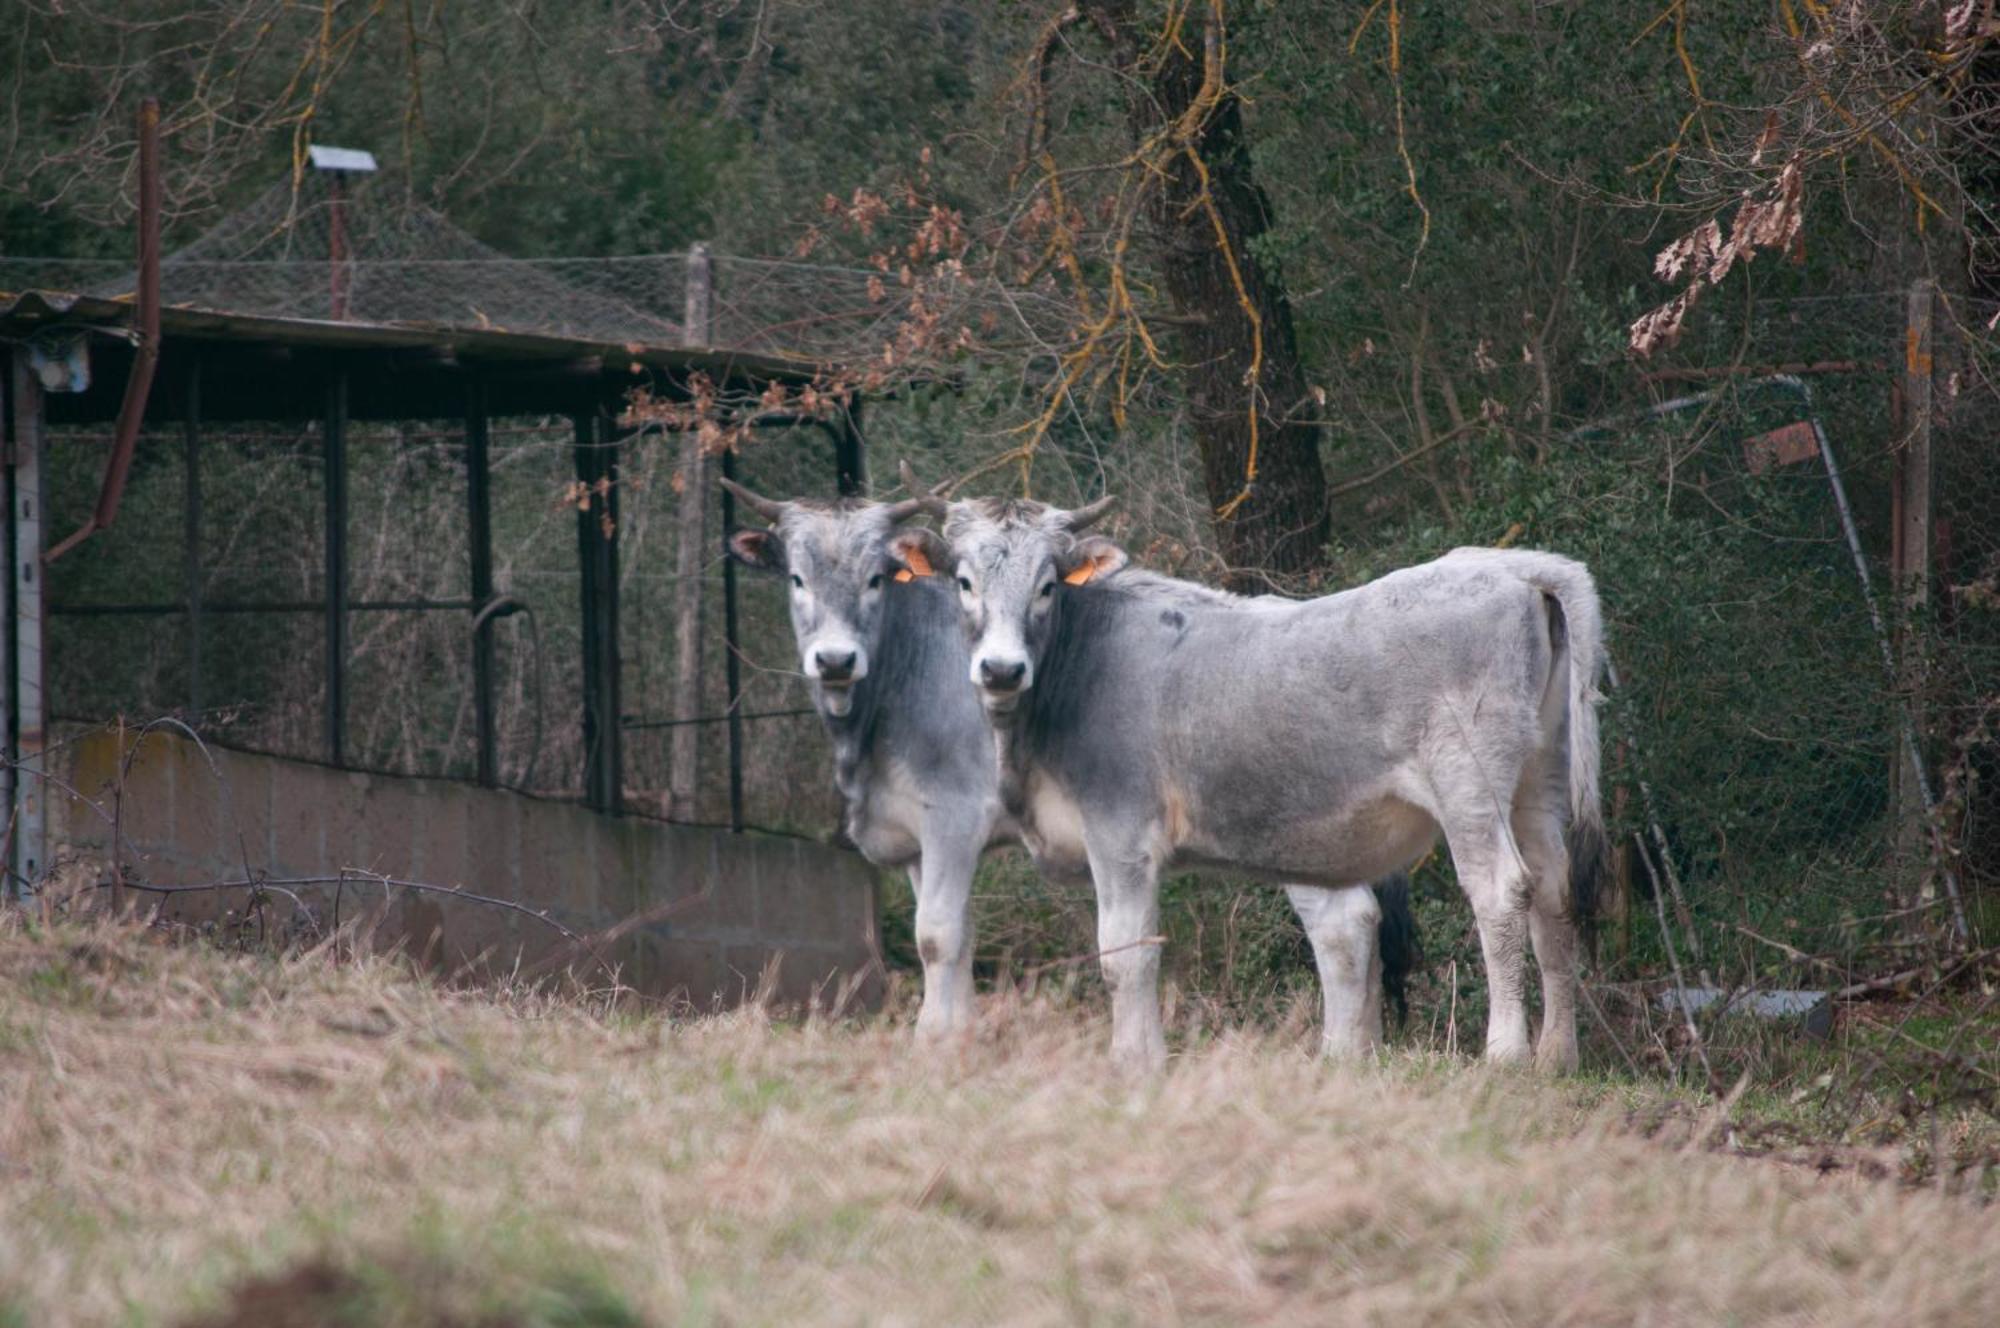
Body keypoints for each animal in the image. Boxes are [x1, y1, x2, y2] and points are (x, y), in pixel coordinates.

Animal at [720, 474, 1424, 1048]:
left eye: (874, 579)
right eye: (796, 578)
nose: (835, 659)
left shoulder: (953, 815)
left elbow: (937, 935)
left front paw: (935, 1044)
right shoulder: (917, 835)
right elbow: (953, 938)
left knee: (1341, 925)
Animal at [916, 492, 1608, 1072]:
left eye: (1047, 586)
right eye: (964, 582)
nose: (1000, 668)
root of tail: (1513, 567)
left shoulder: (1119, 832)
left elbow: (1124, 951)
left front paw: (1134, 1061)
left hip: (1470, 781)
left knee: (1500, 893)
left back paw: (1507, 1056)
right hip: (1538, 779)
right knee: (1554, 894)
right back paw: (1557, 1057)